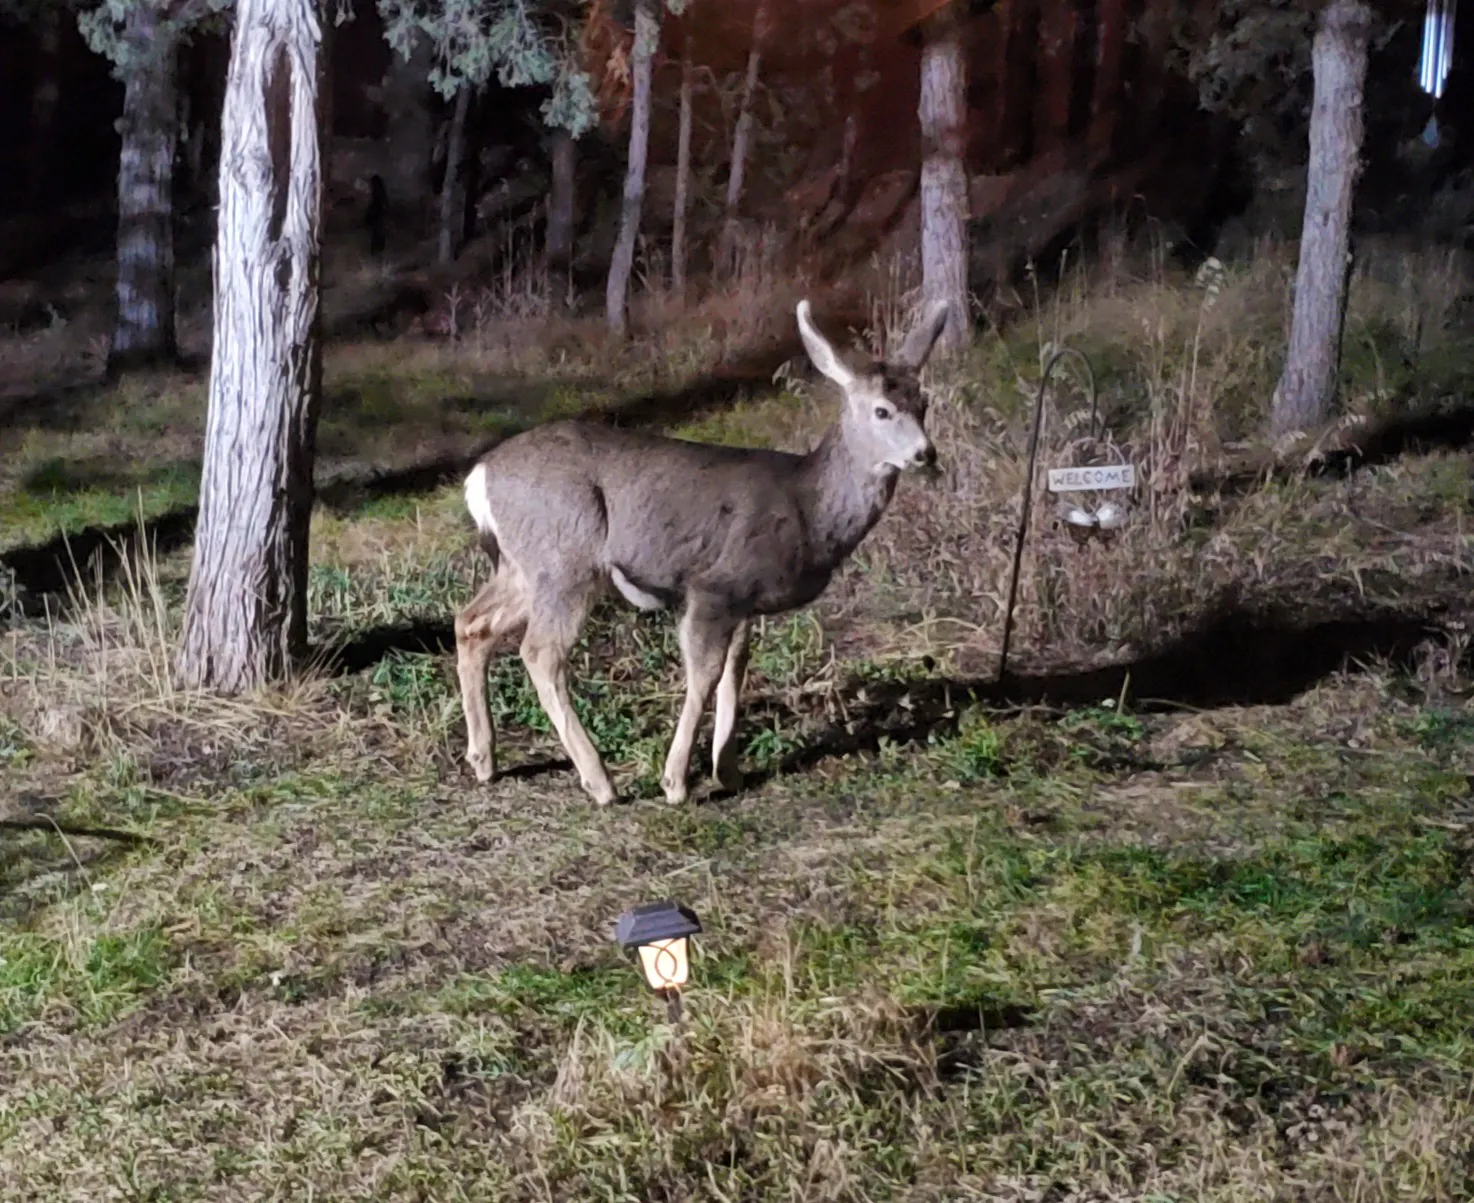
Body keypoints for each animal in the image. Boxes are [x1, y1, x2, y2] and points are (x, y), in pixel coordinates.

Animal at [454, 297, 951, 806]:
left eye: (924, 403)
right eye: (882, 411)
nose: (925, 454)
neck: (806, 505)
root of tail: (479, 476)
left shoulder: (744, 598)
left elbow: (736, 667)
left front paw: (726, 770)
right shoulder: (713, 584)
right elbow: (705, 672)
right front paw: (676, 782)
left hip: (522, 565)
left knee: (471, 622)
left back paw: (484, 760)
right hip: (564, 558)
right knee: (540, 652)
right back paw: (600, 781)